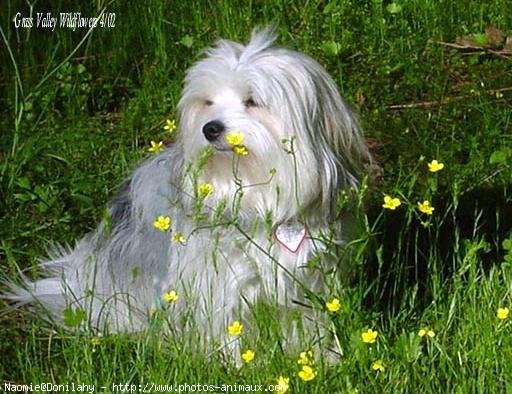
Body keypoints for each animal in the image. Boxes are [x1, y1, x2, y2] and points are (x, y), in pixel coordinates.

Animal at [5, 28, 372, 350]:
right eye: (208, 102)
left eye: (252, 101)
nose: (210, 129)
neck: (254, 201)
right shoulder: (220, 284)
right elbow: (227, 327)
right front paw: (236, 364)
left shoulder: (307, 279)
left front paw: (322, 357)